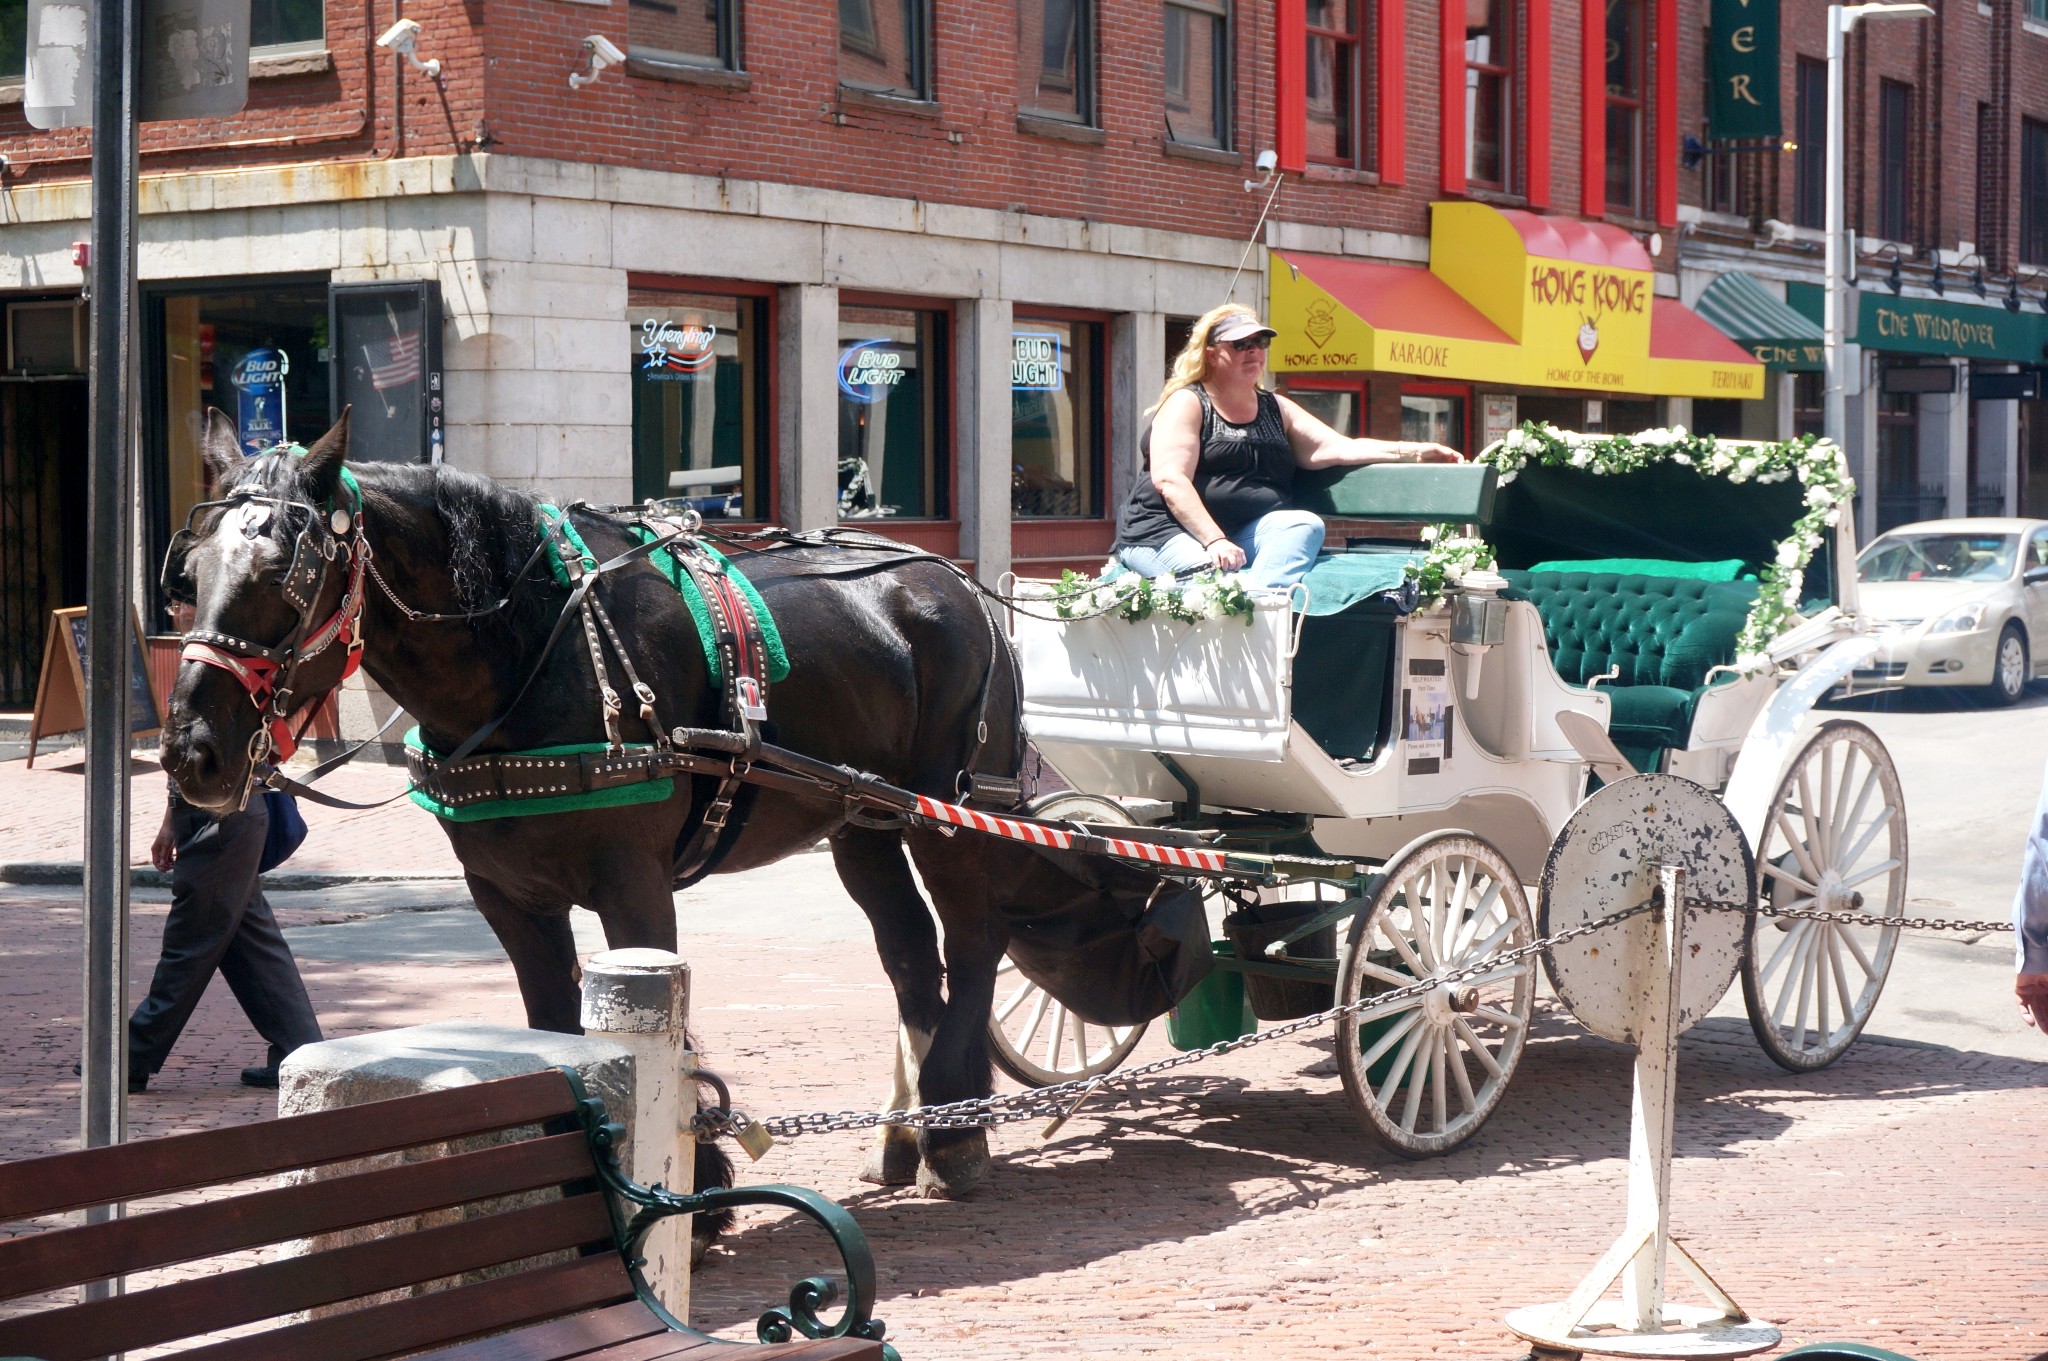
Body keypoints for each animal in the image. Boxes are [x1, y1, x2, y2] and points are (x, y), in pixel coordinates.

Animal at [161, 409, 1048, 1195]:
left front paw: (700, 1186)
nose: (189, 751)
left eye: (284, 579)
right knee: (910, 953)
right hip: (864, 819)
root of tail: (953, 577)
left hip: (951, 813)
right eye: (191, 577)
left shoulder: (635, 884)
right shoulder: (508, 896)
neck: (531, 656)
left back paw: (957, 1135)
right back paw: (913, 1133)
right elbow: (553, 1025)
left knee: (974, 940)